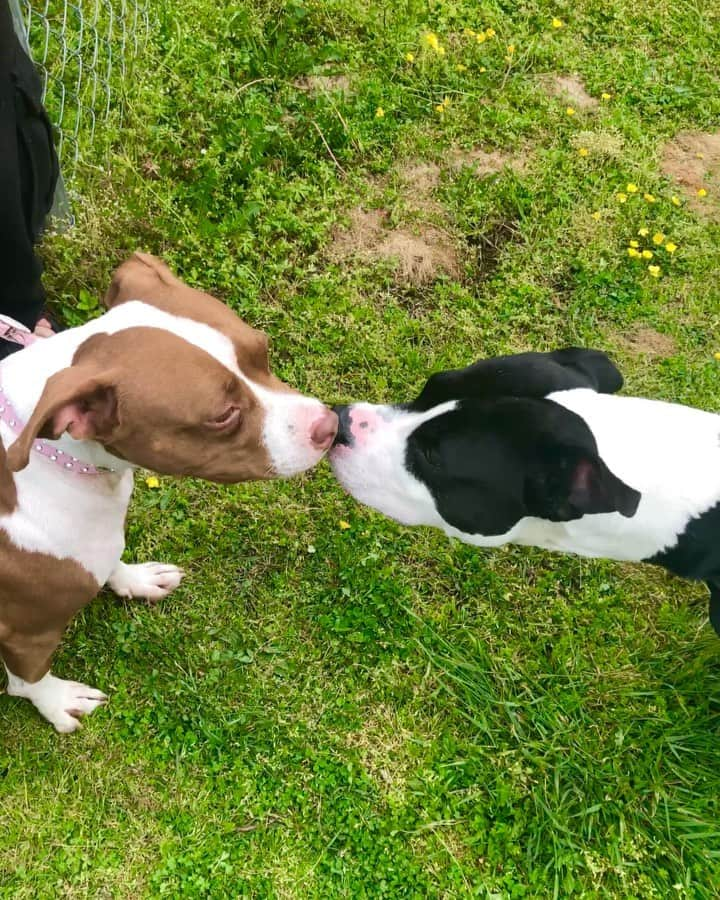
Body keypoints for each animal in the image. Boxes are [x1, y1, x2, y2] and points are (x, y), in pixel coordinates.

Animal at [0, 251, 338, 732]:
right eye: (223, 416)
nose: (329, 425)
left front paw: (136, 579)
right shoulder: (25, 630)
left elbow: (112, 560)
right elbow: (28, 679)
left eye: (263, 348)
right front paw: (58, 701)